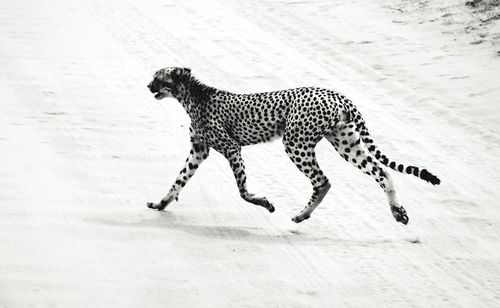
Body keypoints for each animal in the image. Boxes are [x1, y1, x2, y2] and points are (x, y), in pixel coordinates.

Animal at [146, 67, 440, 224]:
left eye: (159, 77)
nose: (148, 85)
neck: (192, 95)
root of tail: (336, 94)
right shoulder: (199, 149)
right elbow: (179, 179)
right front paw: (161, 203)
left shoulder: (231, 148)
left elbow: (242, 190)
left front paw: (266, 204)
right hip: (345, 142)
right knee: (382, 171)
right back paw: (398, 212)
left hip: (295, 141)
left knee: (323, 180)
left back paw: (302, 214)